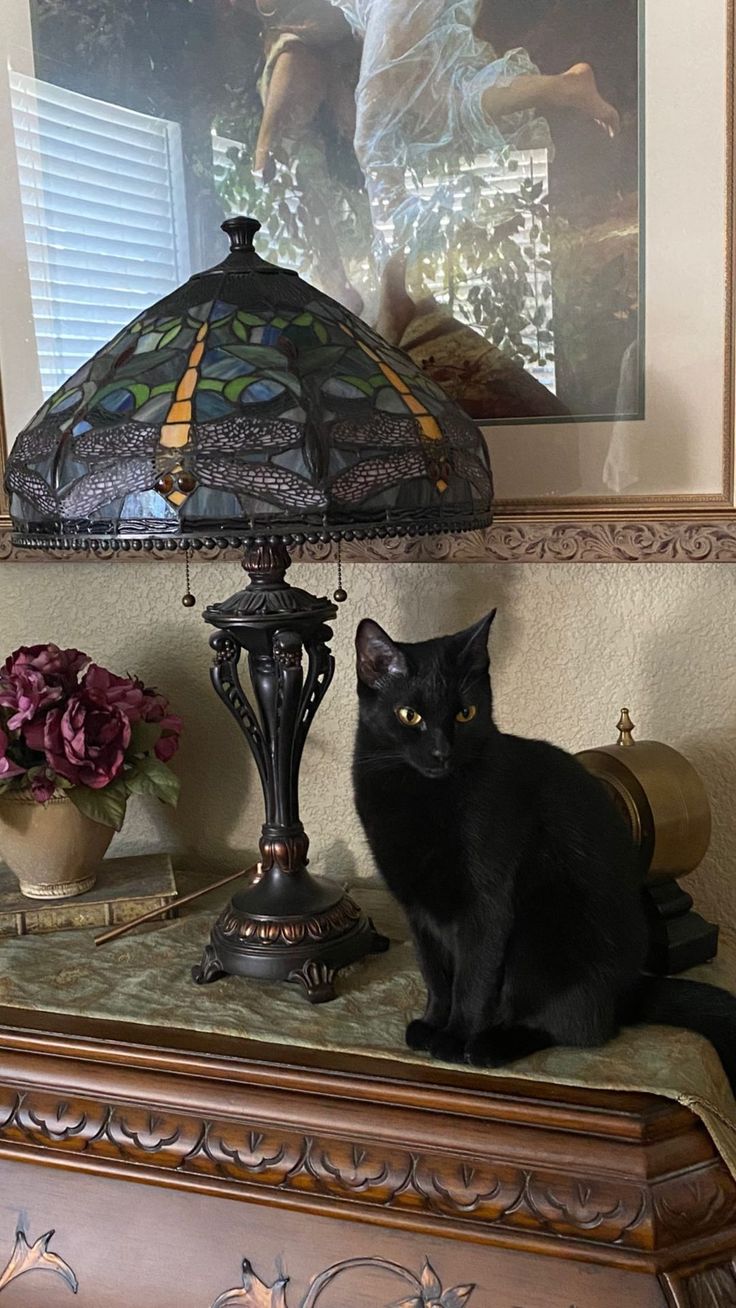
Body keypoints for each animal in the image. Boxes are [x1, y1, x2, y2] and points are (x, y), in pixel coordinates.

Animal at [352, 612, 736, 1093]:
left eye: (465, 713)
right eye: (409, 715)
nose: (441, 752)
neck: (419, 796)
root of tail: (630, 989)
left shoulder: (486, 904)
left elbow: (470, 981)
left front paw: (454, 1036)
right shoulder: (418, 909)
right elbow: (435, 973)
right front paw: (432, 1023)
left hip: (540, 940)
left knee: (576, 1026)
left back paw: (490, 1045)